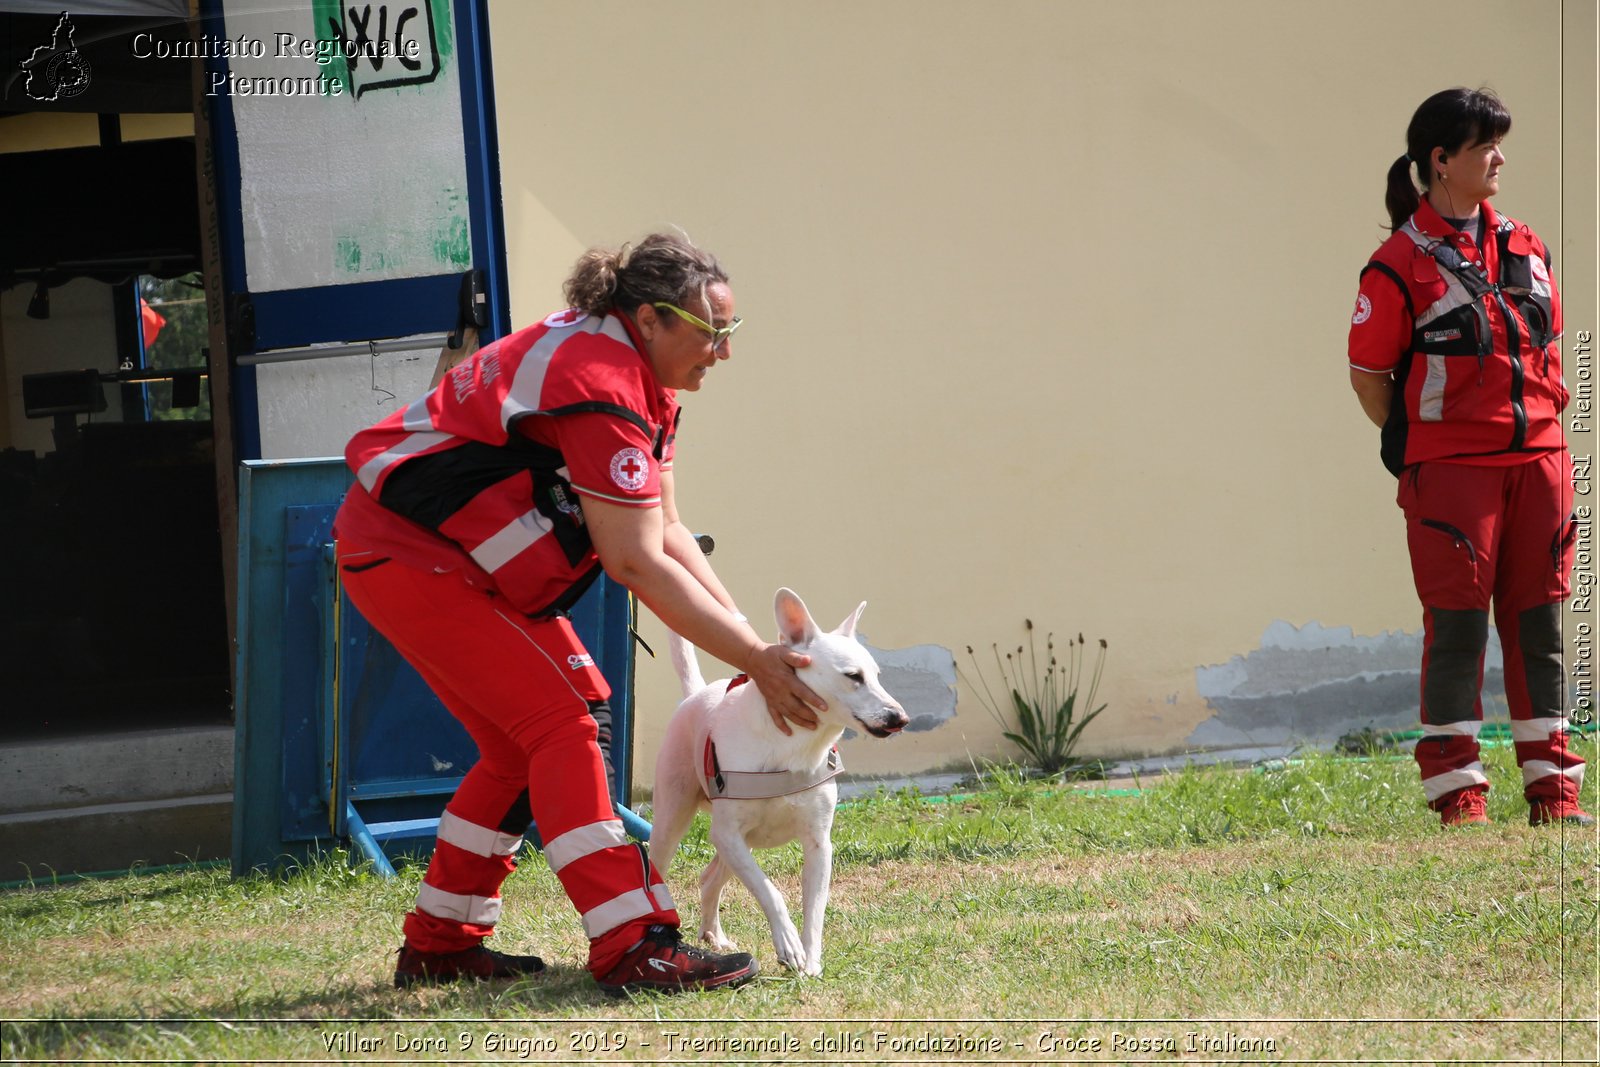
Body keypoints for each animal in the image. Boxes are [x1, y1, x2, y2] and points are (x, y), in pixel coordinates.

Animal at [643, 591, 908, 979]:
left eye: (876, 675)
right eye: (853, 676)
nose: (899, 718)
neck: (797, 746)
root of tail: (695, 695)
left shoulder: (818, 844)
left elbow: (815, 909)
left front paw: (810, 960)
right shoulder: (729, 833)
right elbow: (770, 892)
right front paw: (789, 945)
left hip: (736, 846)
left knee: (709, 878)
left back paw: (714, 935)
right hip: (676, 824)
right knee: (658, 869)